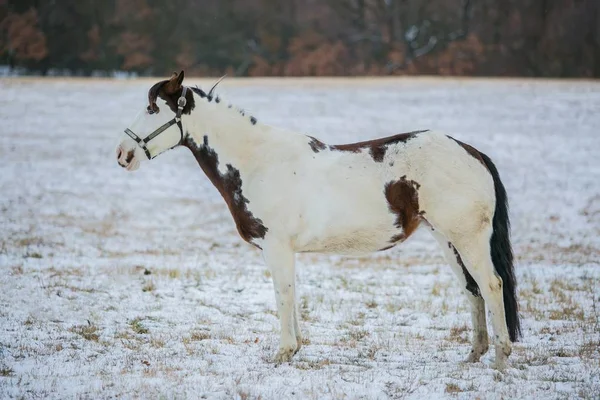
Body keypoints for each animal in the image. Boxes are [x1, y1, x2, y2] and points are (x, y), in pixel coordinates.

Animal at [115, 70, 516, 370]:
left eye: (152, 108)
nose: (123, 154)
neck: (258, 162)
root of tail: (471, 152)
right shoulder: (286, 251)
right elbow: (292, 297)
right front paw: (295, 350)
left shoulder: (276, 247)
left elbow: (282, 296)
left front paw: (282, 353)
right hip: (447, 240)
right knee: (472, 290)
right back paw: (474, 355)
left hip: (467, 239)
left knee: (491, 285)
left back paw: (500, 358)